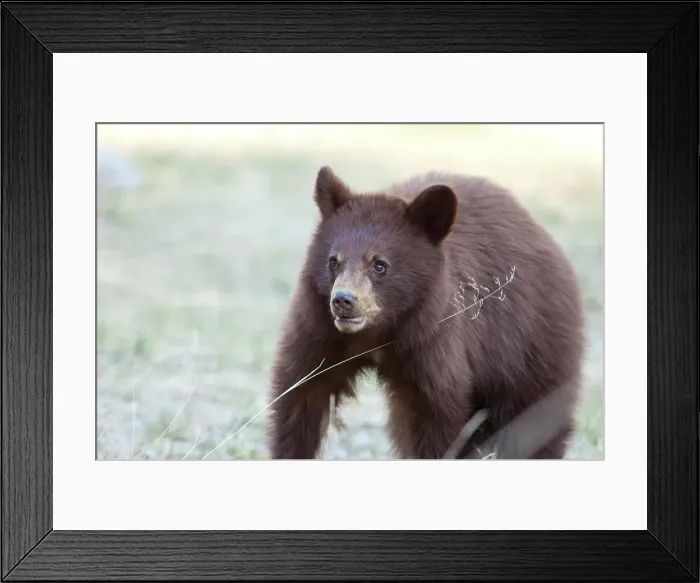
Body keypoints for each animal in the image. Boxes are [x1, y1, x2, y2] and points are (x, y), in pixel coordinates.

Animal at [266, 165, 586, 460]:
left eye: (379, 265)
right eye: (334, 261)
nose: (343, 300)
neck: (377, 332)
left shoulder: (434, 337)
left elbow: (435, 412)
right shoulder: (320, 329)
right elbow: (301, 393)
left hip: (530, 346)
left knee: (536, 418)